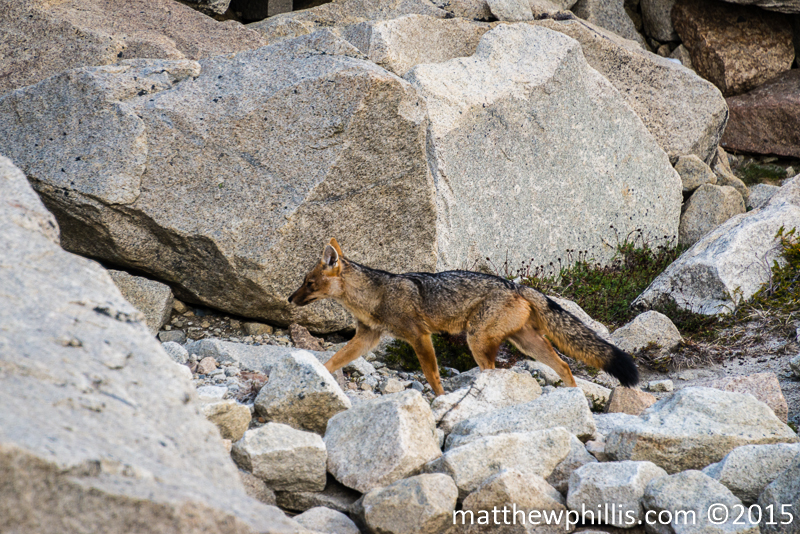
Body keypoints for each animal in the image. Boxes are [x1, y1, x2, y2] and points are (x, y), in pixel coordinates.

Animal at [288, 238, 639, 396]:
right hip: (525, 343)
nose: (290, 299)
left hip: (477, 341)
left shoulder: (419, 337)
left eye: (308, 283)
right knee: (563, 365)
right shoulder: (366, 337)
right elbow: (333, 360)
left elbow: (432, 376)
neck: (375, 294)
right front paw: (318, 375)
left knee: (497, 373)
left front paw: (441, 400)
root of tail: (517, 284)